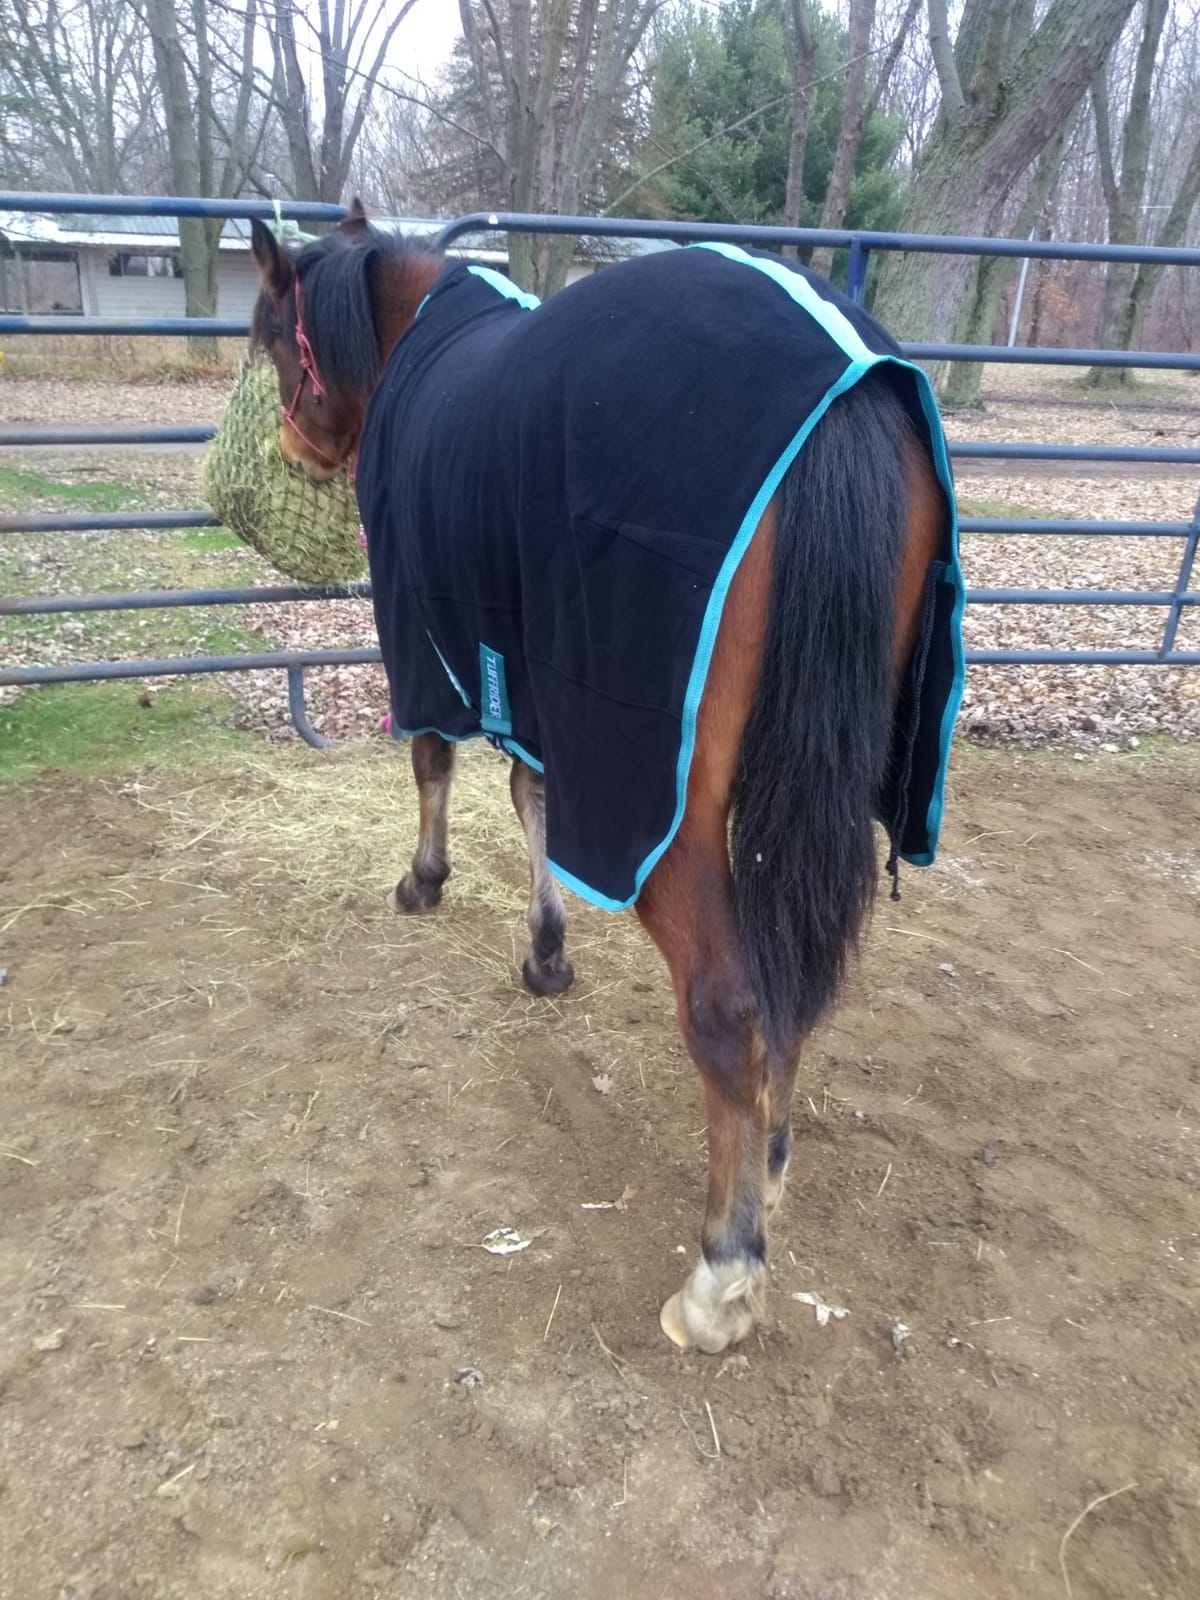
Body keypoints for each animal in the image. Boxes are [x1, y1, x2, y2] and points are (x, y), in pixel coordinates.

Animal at [248, 204, 964, 1355]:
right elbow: (532, 802)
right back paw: (770, 1161)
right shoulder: (527, 677)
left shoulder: (435, 642)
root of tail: (845, 391)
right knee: (791, 973)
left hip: (668, 806)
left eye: (274, 332)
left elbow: (436, 762)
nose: (291, 446)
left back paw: (723, 1271)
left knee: (728, 1001)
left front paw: (425, 882)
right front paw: (546, 954)